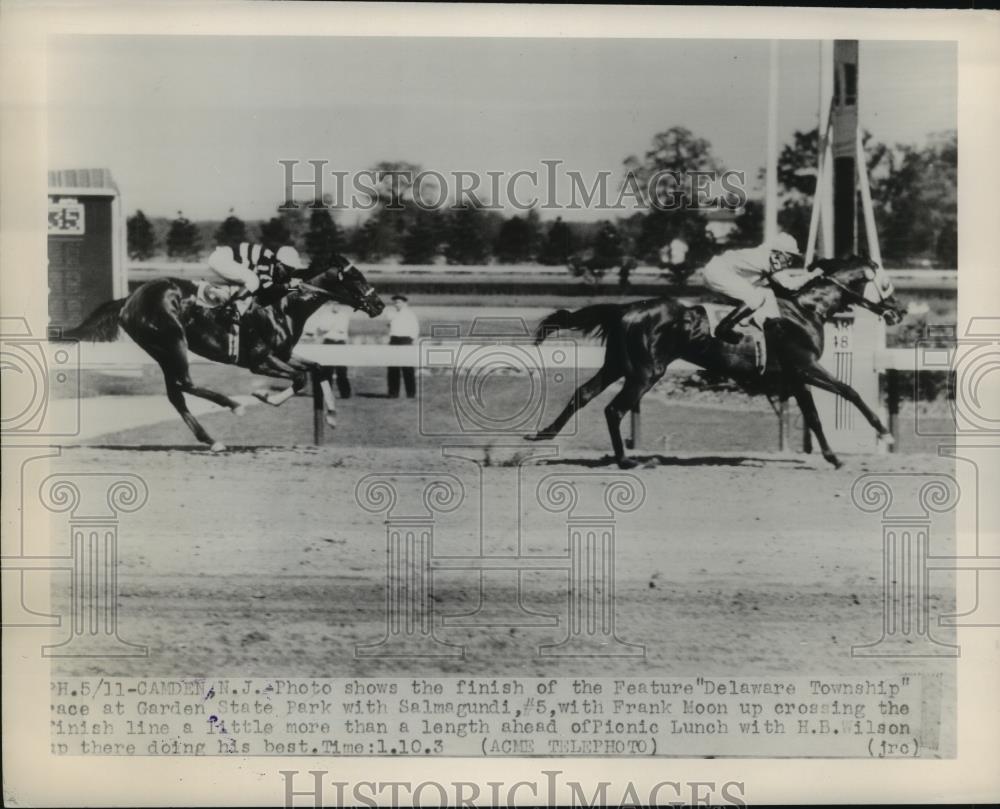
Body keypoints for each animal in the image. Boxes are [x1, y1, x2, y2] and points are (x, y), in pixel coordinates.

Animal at [62, 254, 382, 448]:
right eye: (356, 278)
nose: (379, 305)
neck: (283, 303)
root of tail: (129, 299)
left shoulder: (283, 354)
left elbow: (318, 368)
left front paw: (331, 416)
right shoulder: (260, 360)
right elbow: (300, 378)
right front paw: (263, 395)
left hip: (161, 350)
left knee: (177, 393)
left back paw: (211, 439)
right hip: (172, 341)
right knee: (185, 383)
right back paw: (233, 405)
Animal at [532, 252, 908, 468]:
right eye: (886, 282)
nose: (900, 311)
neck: (805, 309)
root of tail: (627, 309)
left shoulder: (795, 375)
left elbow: (817, 414)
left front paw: (834, 455)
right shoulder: (805, 367)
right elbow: (847, 392)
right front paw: (882, 435)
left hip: (617, 366)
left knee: (582, 394)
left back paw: (543, 435)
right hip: (646, 372)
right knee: (614, 409)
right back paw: (627, 462)